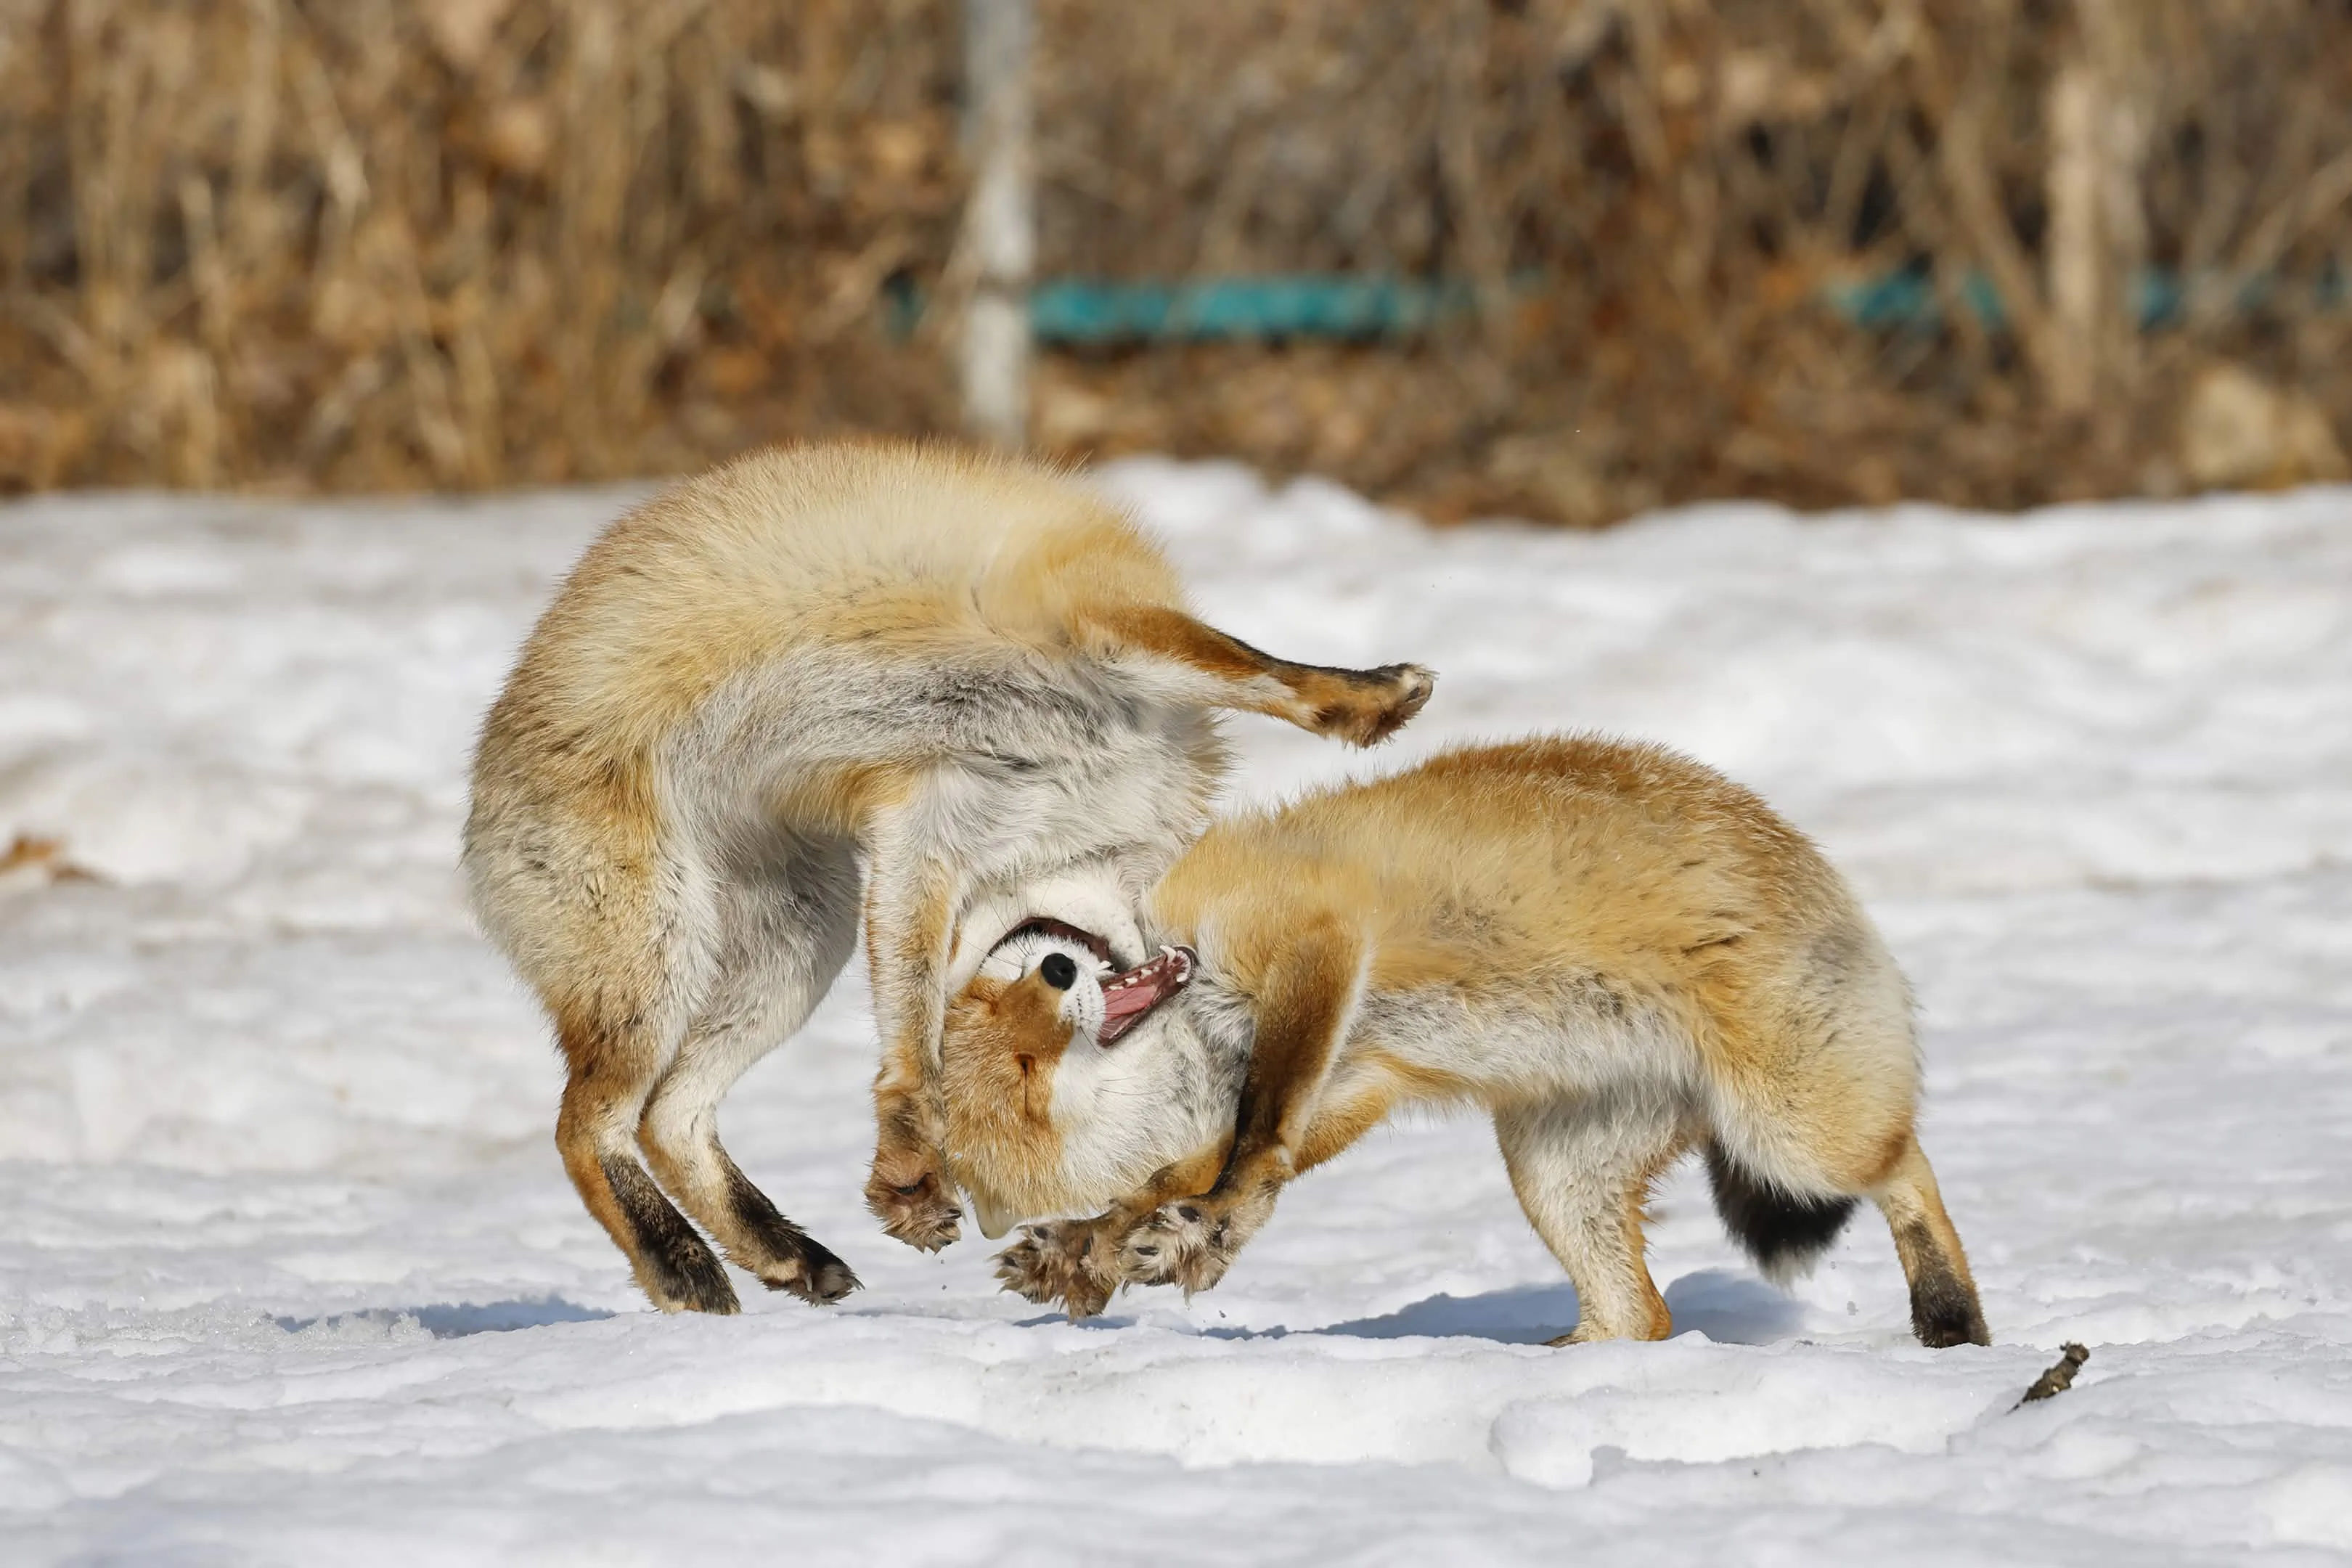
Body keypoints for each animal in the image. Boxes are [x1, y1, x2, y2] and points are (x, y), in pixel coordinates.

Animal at [462, 442, 1434, 1315]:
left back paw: (782, 1254)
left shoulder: (925, 826)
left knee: (670, 1118)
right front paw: (1370, 699)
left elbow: (910, 1040)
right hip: (658, 967)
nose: (1176, 957)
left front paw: (908, 1173)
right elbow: (1254, 666)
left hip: (798, 947)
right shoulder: (1098, 626)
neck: (1091, 812)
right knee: (584, 1127)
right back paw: (680, 1269)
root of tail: (474, 822)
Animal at [934, 736, 1991, 1348]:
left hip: (1792, 1136)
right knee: (1638, 1318)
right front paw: (1100, 1250)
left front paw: (1209, 1224)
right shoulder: (1357, 1076)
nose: (1060, 970)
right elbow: (1184, 1177)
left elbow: (1253, 1141)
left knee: (1909, 1166)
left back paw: (1953, 1321)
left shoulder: (1317, 945)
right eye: (1026, 1074)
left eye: (1012, 997)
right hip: (1555, 1177)